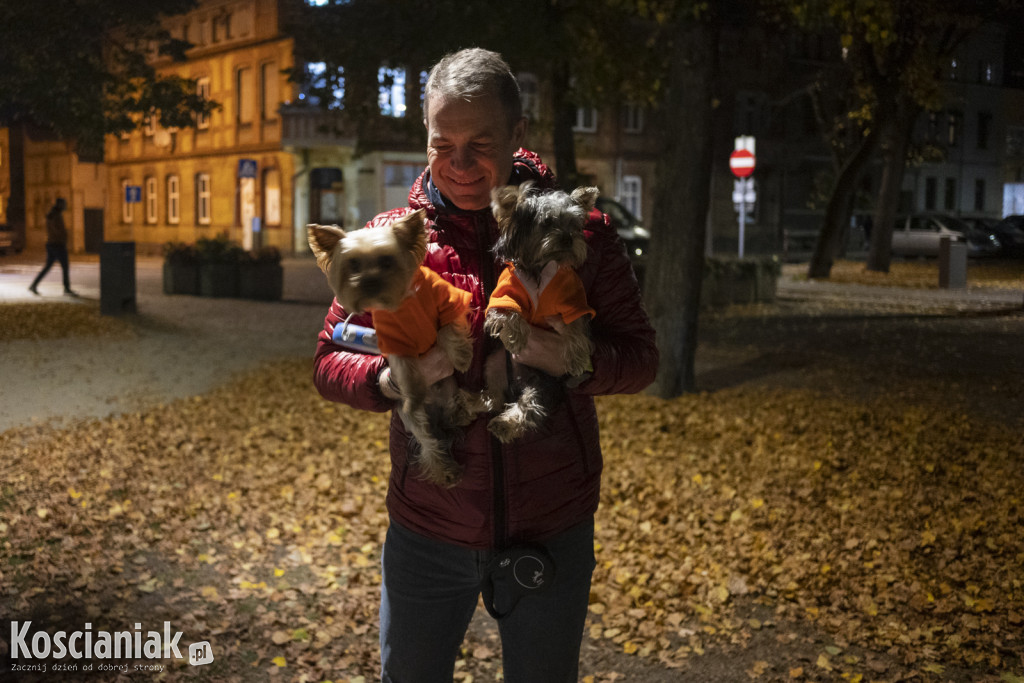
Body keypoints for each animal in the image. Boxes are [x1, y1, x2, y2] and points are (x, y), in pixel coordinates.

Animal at [307, 209, 475, 485]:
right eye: (353, 264)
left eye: (387, 260)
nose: (369, 282)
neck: (403, 301)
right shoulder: (396, 345)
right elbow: (408, 372)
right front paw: (414, 394)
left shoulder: (448, 302)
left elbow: (446, 331)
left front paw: (461, 357)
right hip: (413, 419)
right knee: (429, 440)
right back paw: (444, 467)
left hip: (450, 388)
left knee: (452, 409)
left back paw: (463, 412)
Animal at [481, 181, 598, 440]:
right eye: (546, 223)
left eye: (575, 225)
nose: (567, 238)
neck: (539, 269)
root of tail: (520, 381)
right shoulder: (504, 296)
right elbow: (509, 313)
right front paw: (516, 337)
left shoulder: (573, 301)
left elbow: (575, 328)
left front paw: (577, 358)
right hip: (495, 363)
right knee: (496, 397)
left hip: (543, 381)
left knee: (530, 406)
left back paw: (504, 423)